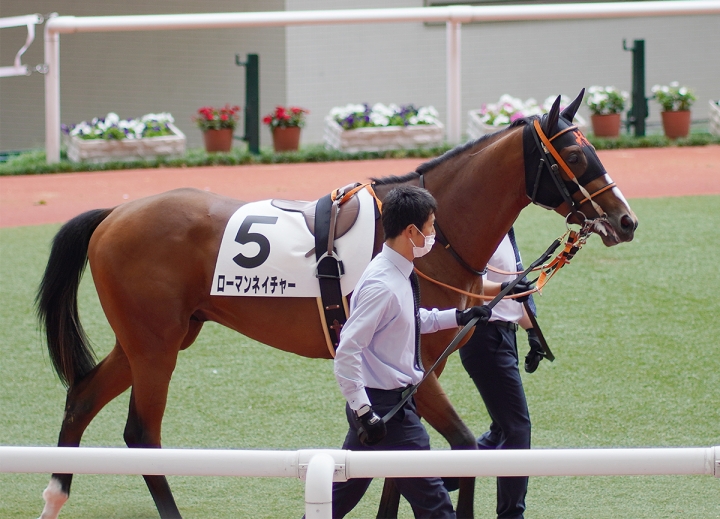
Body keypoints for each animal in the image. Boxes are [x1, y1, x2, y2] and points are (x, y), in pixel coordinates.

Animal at [35, 90, 637, 519]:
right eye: (576, 154)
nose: (626, 219)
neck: (431, 237)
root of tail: (115, 213)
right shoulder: (413, 368)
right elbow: (461, 449)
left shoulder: (412, 376)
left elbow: (400, 462)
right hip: (155, 345)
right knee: (141, 434)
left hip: (157, 337)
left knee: (83, 396)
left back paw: (56, 494)